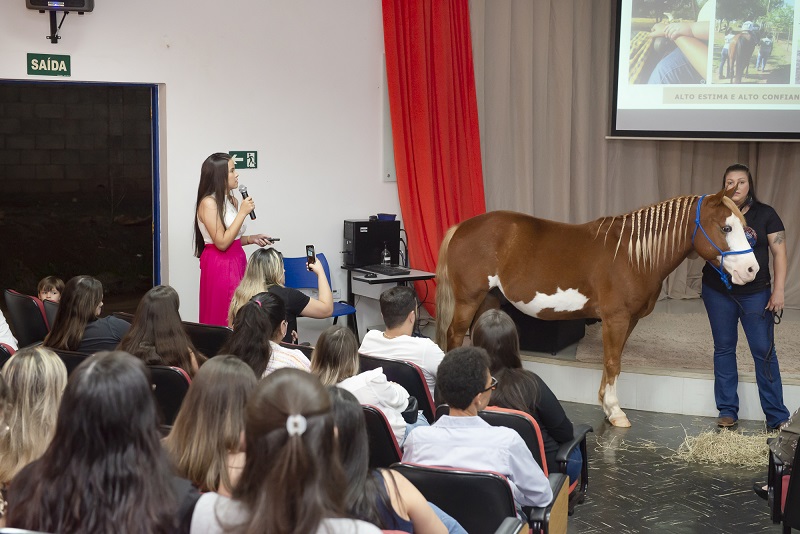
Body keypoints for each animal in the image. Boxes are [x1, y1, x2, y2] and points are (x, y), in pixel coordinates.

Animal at [438, 188, 756, 428]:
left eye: (745, 227)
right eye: (726, 227)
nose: (751, 270)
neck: (633, 255)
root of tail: (462, 227)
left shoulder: (628, 321)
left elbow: (612, 361)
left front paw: (605, 403)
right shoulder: (616, 319)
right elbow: (613, 362)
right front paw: (615, 411)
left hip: (488, 300)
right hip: (469, 300)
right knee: (454, 336)